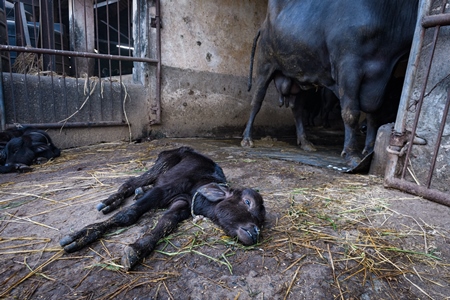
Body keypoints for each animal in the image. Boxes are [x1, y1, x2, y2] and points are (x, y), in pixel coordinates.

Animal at [58, 146, 266, 270]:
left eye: (262, 221)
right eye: (248, 202)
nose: (255, 232)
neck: (198, 186)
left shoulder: (181, 205)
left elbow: (165, 223)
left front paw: (137, 250)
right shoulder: (162, 190)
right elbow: (129, 214)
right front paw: (82, 236)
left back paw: (136, 193)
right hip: (161, 165)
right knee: (130, 182)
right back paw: (111, 202)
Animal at [243, 0, 418, 168]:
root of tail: (264, 24)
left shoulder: (381, 78)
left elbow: (373, 115)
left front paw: (369, 150)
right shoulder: (348, 66)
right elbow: (350, 112)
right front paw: (351, 155)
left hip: (300, 75)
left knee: (297, 108)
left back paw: (305, 142)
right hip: (265, 65)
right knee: (256, 101)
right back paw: (247, 138)